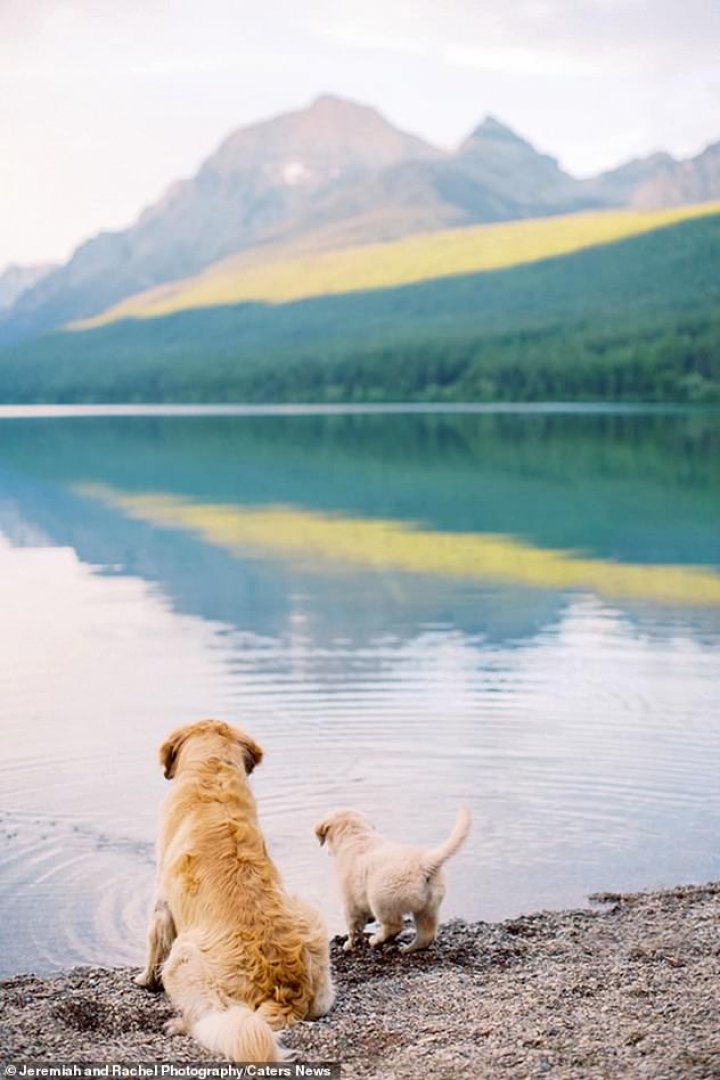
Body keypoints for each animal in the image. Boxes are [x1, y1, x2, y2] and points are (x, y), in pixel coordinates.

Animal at [136, 717, 334, 1062]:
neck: (212, 774)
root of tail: (284, 992)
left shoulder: (162, 900)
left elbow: (154, 943)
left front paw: (145, 980)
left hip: (183, 958)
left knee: (209, 1016)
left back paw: (178, 1024)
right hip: (310, 919)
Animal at [315, 812, 472, 954]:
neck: (355, 835)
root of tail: (424, 864)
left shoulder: (349, 902)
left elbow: (353, 926)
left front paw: (349, 944)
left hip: (381, 898)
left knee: (393, 926)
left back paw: (376, 940)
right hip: (429, 906)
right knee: (426, 934)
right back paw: (408, 949)